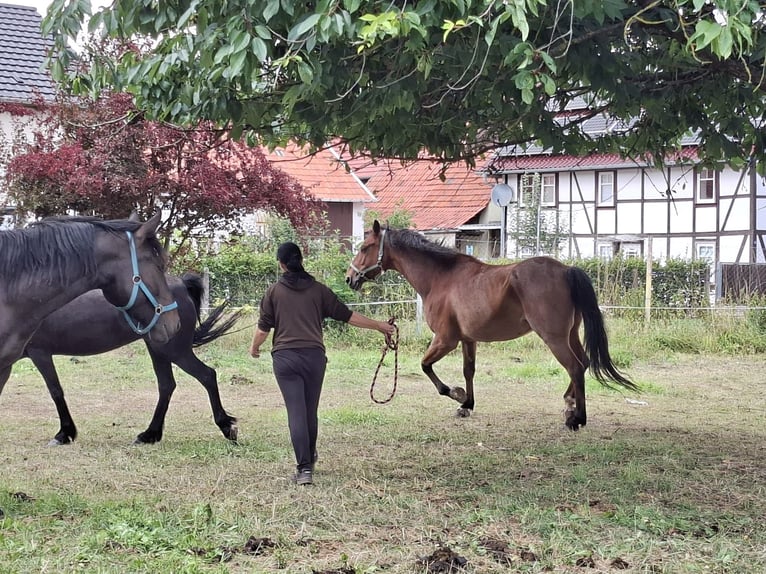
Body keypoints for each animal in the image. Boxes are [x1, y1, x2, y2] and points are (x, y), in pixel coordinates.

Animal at [19, 272, 242, 445]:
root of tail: (180, 284)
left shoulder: (40, 353)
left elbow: (55, 391)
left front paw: (64, 434)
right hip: (157, 349)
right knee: (167, 385)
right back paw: (150, 435)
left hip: (174, 351)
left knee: (207, 375)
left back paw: (226, 427)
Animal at [346, 221, 638, 430]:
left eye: (364, 248)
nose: (349, 278)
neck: (441, 278)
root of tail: (567, 270)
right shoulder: (468, 339)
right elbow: (469, 371)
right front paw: (467, 404)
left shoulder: (445, 339)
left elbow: (426, 366)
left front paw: (456, 394)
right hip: (571, 334)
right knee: (584, 363)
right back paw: (569, 405)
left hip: (554, 338)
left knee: (575, 367)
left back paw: (577, 419)